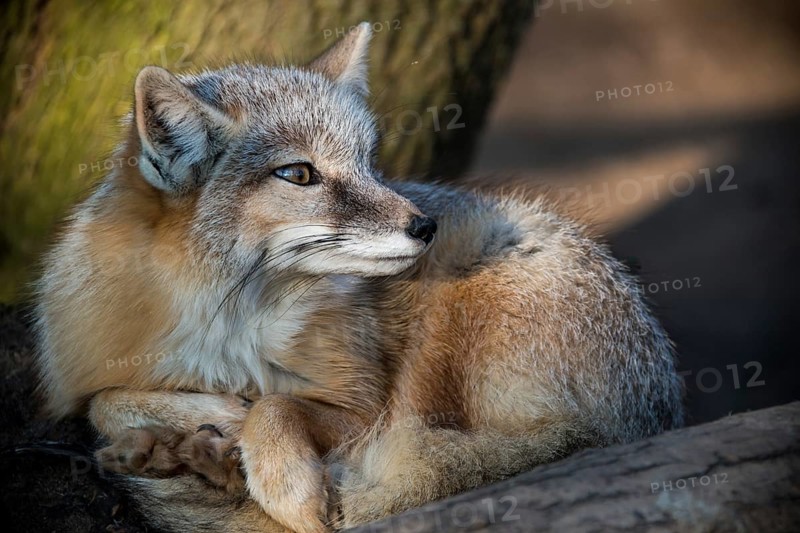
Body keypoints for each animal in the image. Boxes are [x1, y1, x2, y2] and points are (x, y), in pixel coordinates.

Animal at [34, 22, 684, 533]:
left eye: (368, 165)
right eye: (299, 174)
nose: (425, 226)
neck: (226, 330)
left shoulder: (365, 407)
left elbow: (278, 407)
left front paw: (284, 479)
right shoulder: (86, 363)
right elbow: (104, 402)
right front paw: (214, 422)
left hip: (453, 322)